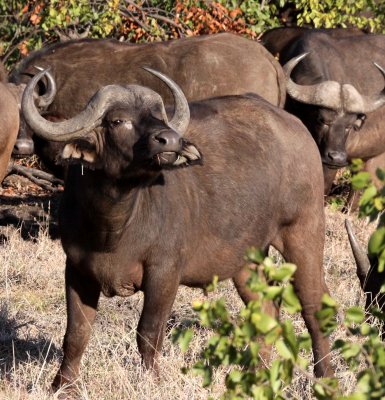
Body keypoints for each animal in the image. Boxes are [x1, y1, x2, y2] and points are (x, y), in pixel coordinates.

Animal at [22, 67, 332, 390]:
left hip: (304, 233)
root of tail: (296, 127)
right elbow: (76, 334)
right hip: (248, 260)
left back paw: (324, 377)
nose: (169, 140)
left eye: (159, 116)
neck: (112, 227)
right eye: (118, 121)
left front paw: (152, 382)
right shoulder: (77, 270)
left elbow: (148, 333)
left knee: (314, 306)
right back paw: (258, 375)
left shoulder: (164, 273)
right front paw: (62, 386)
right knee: (265, 310)